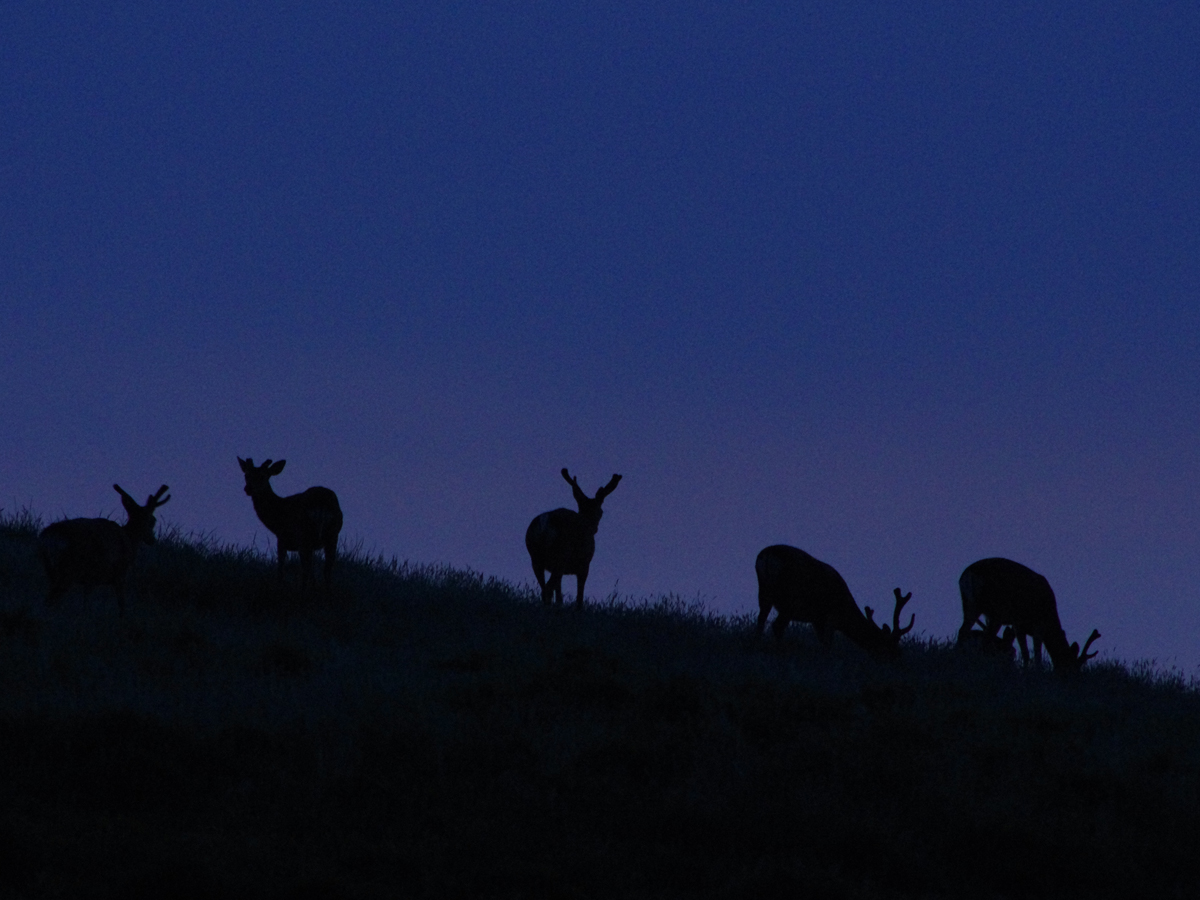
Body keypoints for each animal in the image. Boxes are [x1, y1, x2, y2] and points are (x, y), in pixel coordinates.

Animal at [37, 482, 170, 619]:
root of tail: (50, 537)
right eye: (153, 521)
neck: (130, 539)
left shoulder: (90, 579)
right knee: (52, 598)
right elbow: (121, 603)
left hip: (50, 568)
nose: (152, 539)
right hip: (69, 569)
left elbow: (86, 600)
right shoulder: (118, 573)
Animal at [236, 458, 343, 592]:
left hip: (304, 535)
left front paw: (279, 585)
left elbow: (281, 567)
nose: (248, 488)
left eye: (262, 476)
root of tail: (322, 504)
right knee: (327, 569)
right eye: (246, 475)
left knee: (306, 569)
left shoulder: (282, 537)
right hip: (332, 535)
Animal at [525, 468, 624, 609]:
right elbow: (579, 595)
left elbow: (559, 593)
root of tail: (545, 522)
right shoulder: (585, 564)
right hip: (561, 555)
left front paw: (559, 605)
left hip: (535, 558)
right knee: (548, 588)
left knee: (544, 588)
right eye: (601, 512)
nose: (595, 529)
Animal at [753, 547, 912, 657]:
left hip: (765, 594)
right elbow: (828, 643)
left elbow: (822, 641)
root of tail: (766, 556)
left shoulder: (817, 620)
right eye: (890, 645)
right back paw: (780, 650)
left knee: (761, 619)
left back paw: (758, 644)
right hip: (789, 601)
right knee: (777, 626)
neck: (845, 614)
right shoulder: (831, 616)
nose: (899, 657)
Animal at [960, 556, 1099, 676]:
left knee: (965, 632)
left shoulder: (1018, 626)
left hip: (970, 606)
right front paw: (1036, 671)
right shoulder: (1035, 625)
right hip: (994, 610)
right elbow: (1035, 654)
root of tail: (967, 574)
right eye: (1073, 665)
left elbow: (1026, 653)